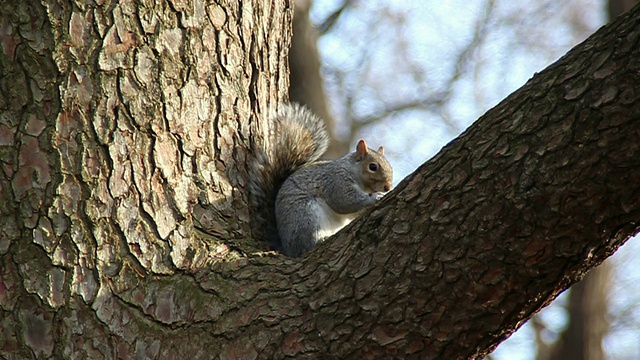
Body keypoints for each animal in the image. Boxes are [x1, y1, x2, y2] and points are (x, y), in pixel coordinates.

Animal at [249, 102, 390, 258]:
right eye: (372, 167)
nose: (388, 187)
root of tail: (288, 249)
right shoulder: (336, 180)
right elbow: (344, 201)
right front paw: (375, 197)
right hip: (306, 216)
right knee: (307, 244)